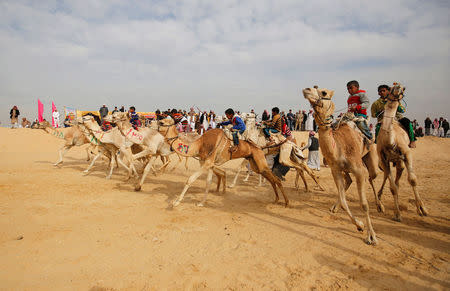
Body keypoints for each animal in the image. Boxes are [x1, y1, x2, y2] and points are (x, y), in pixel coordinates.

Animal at [156, 120, 286, 209]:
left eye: (161, 122)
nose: (152, 123)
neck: (200, 144)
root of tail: (260, 146)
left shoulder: (208, 162)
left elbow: (190, 179)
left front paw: (176, 202)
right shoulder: (206, 162)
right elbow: (208, 182)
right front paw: (202, 203)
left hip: (259, 160)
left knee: (275, 179)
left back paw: (285, 202)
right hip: (255, 163)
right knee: (269, 177)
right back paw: (276, 199)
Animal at [302, 87, 384, 246]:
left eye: (324, 92)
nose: (306, 89)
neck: (339, 145)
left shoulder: (359, 171)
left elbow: (364, 204)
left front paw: (372, 236)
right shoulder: (336, 170)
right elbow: (345, 202)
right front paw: (360, 225)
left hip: (369, 155)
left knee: (372, 177)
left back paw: (380, 206)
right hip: (345, 169)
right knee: (349, 181)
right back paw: (335, 206)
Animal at [376, 82, 428, 221]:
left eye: (403, 88)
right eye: (390, 87)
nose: (398, 87)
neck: (390, 139)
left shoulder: (407, 153)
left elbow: (413, 180)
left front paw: (422, 209)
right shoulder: (383, 159)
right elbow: (393, 187)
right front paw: (398, 214)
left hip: (400, 160)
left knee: (400, 175)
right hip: (390, 161)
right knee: (390, 179)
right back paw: (380, 201)